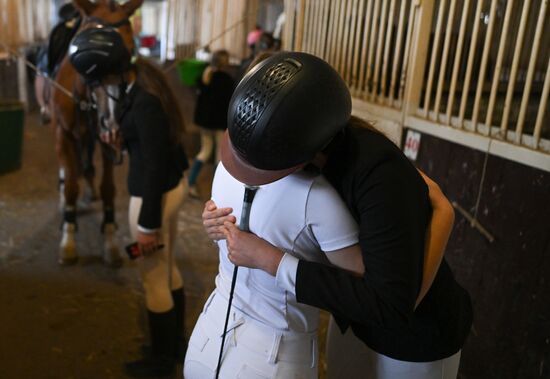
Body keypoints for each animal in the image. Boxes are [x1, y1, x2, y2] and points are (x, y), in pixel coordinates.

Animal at [49, 0, 144, 268]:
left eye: (130, 52)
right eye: (87, 57)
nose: (112, 120)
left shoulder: (106, 141)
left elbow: (108, 188)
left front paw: (110, 241)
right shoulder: (63, 134)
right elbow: (71, 185)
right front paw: (68, 239)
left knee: (87, 162)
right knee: (68, 171)